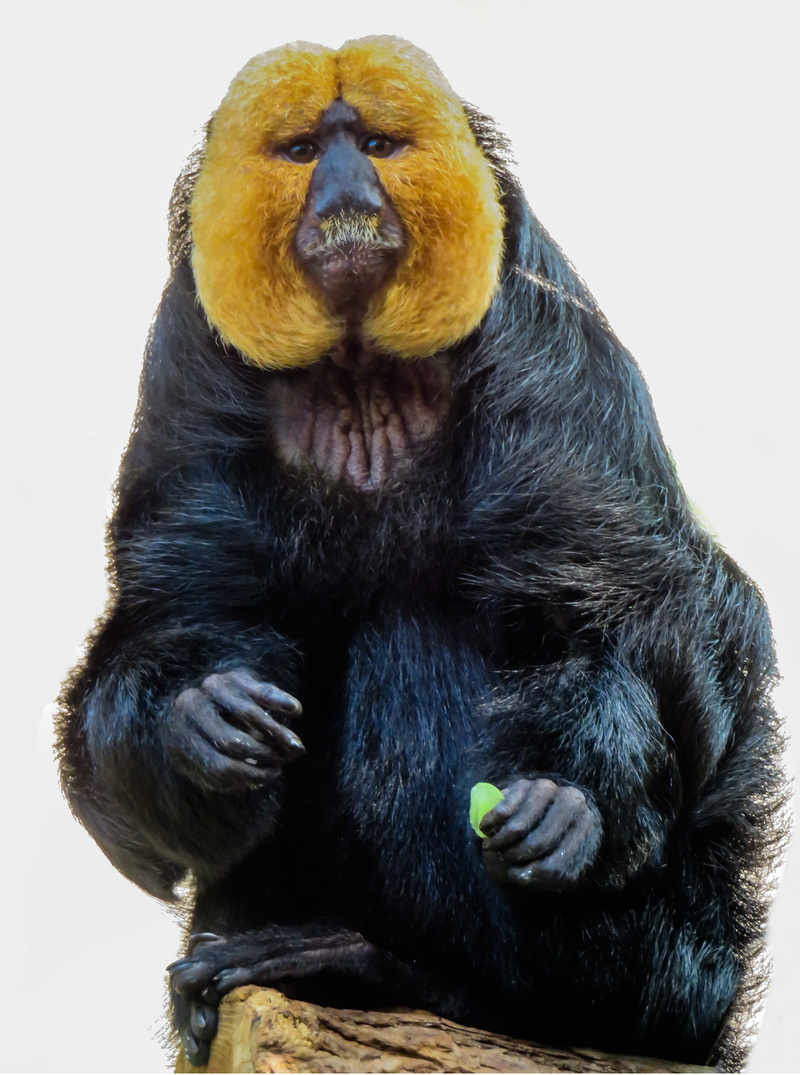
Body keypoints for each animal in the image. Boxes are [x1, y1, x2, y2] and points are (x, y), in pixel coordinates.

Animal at [55, 35, 788, 1071]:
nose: (345, 193)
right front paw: (195, 719)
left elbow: (657, 610)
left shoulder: (545, 342)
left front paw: (572, 799)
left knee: (412, 638)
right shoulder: (187, 361)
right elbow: (175, 617)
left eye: (375, 144)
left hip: (670, 959)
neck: (361, 371)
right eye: (302, 153)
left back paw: (414, 975)